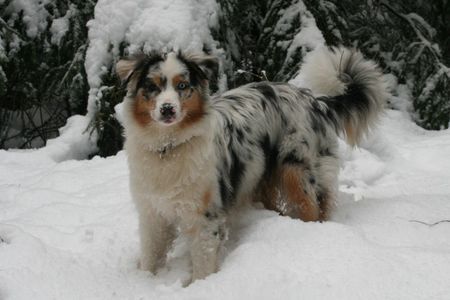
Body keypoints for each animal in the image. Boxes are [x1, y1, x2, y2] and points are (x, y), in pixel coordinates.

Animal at [114, 47, 384, 284]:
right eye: (152, 86)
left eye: (182, 86)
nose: (168, 109)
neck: (168, 147)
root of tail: (316, 101)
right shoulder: (152, 211)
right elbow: (151, 253)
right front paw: (145, 280)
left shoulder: (206, 215)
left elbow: (203, 261)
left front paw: (199, 286)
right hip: (262, 177)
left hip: (297, 169)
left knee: (313, 208)